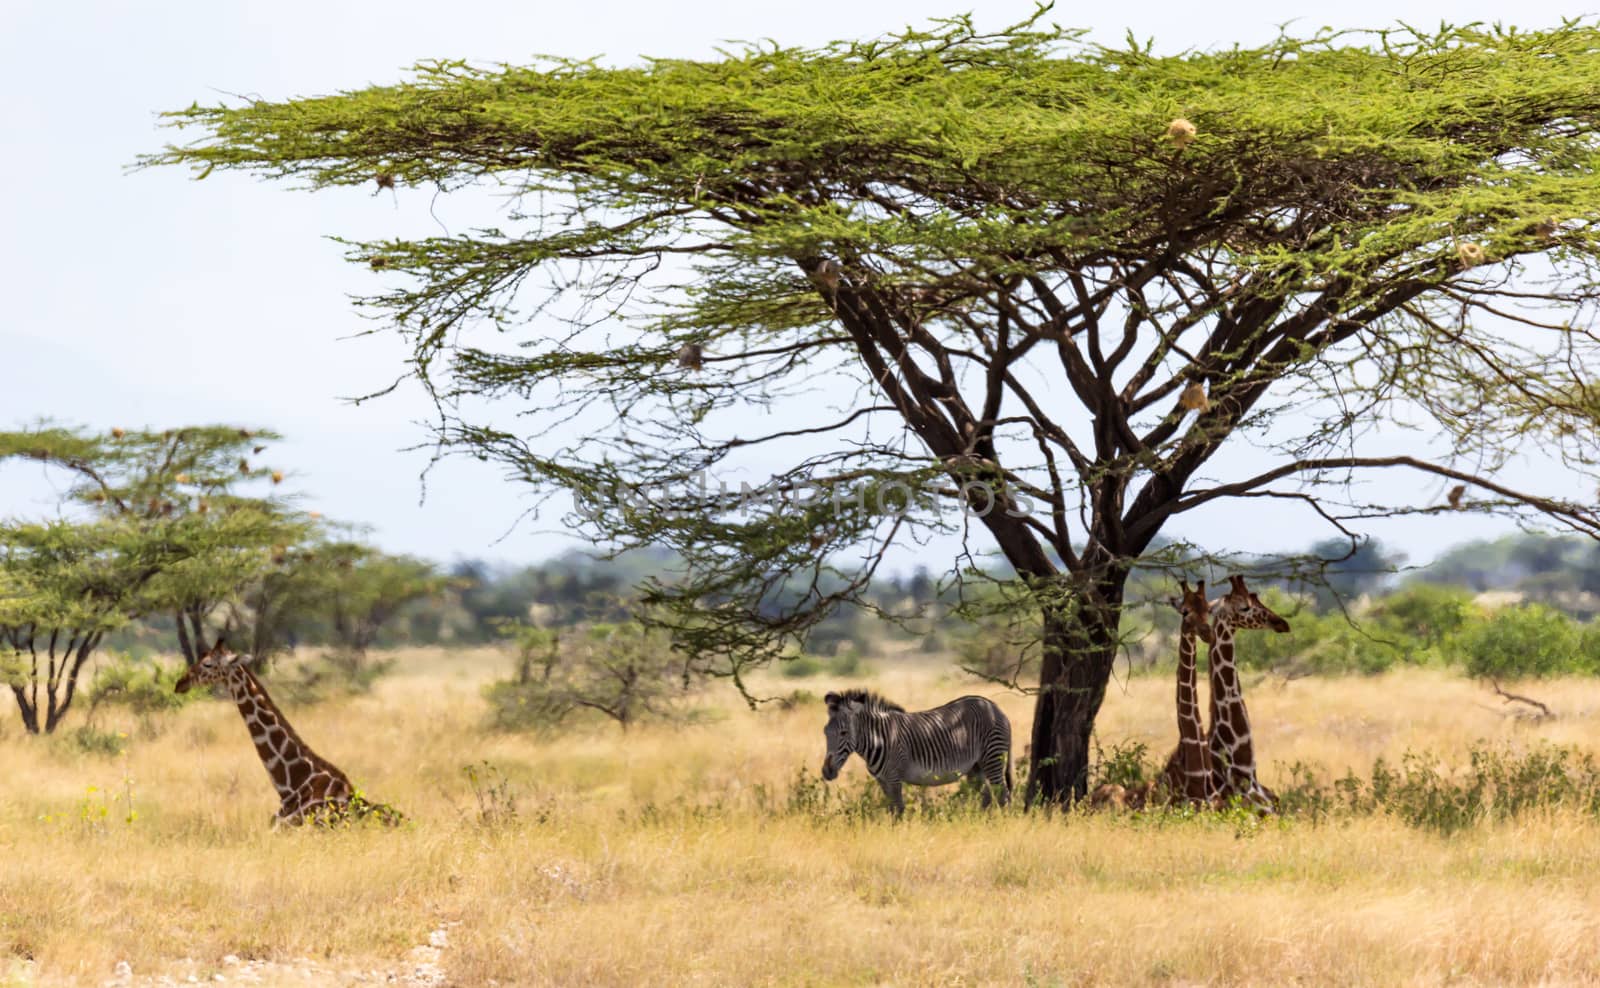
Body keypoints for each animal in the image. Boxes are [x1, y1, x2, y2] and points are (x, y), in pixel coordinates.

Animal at [819, 684, 1004, 815]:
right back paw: (979, 819)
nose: (827, 771)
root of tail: (991, 704)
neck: (878, 739)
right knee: (986, 795)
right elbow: (890, 808)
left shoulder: (894, 778)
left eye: (844, 733)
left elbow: (898, 809)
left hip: (993, 757)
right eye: (825, 732)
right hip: (976, 767)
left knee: (1002, 793)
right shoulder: (882, 780)